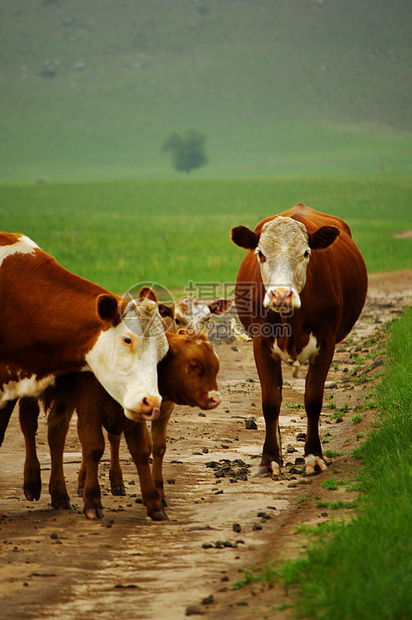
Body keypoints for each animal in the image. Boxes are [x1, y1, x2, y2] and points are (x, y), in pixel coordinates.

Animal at [230, 203, 368, 474]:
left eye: (306, 253)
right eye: (261, 254)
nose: (281, 295)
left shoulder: (326, 344)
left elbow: (313, 399)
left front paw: (314, 456)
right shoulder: (261, 345)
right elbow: (270, 401)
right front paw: (270, 459)